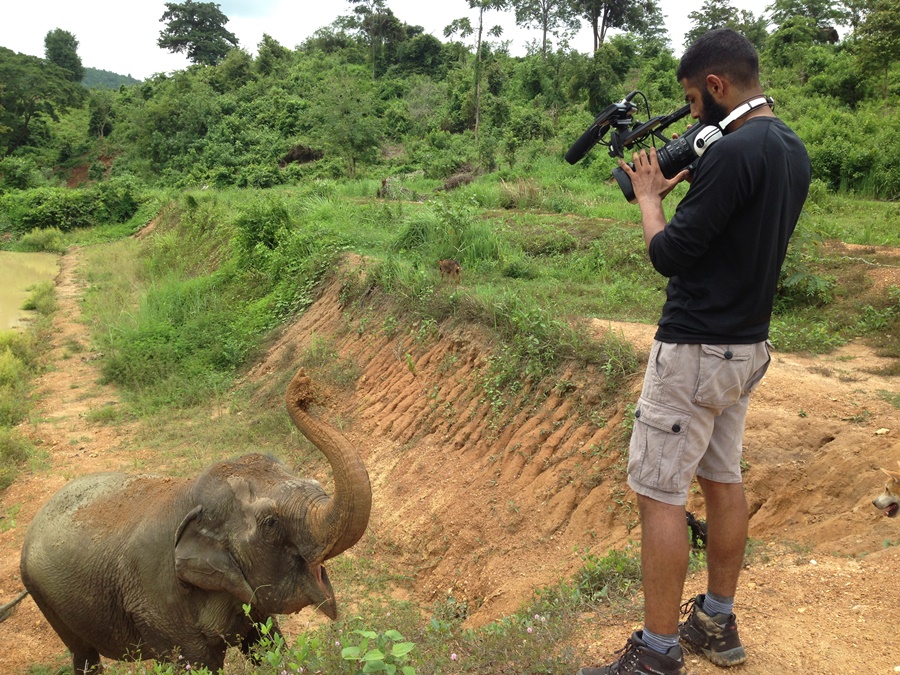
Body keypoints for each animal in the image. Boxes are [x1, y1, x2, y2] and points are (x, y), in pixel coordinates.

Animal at [8, 370, 370, 675]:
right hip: (45, 598)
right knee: (84, 656)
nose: (304, 385)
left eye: (316, 483)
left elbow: (268, 645)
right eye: (270, 523)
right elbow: (198, 664)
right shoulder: (160, 606)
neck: (190, 498)